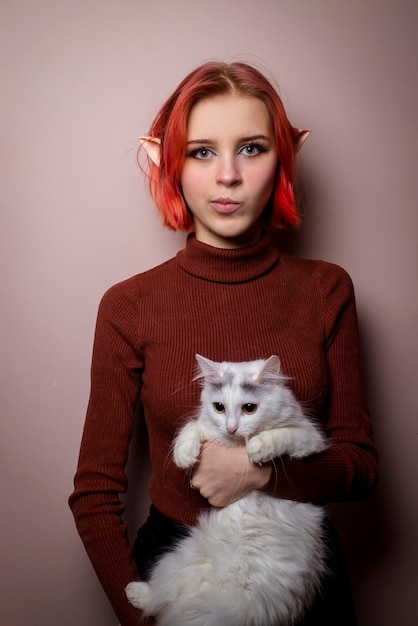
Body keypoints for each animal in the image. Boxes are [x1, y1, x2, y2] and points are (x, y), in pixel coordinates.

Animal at [125, 354, 328, 620]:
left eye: (249, 408)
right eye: (219, 407)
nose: (231, 428)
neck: (235, 444)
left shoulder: (309, 437)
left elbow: (281, 435)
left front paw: (258, 448)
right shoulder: (209, 429)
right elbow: (191, 427)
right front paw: (184, 455)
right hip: (177, 562)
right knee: (163, 598)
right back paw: (135, 591)